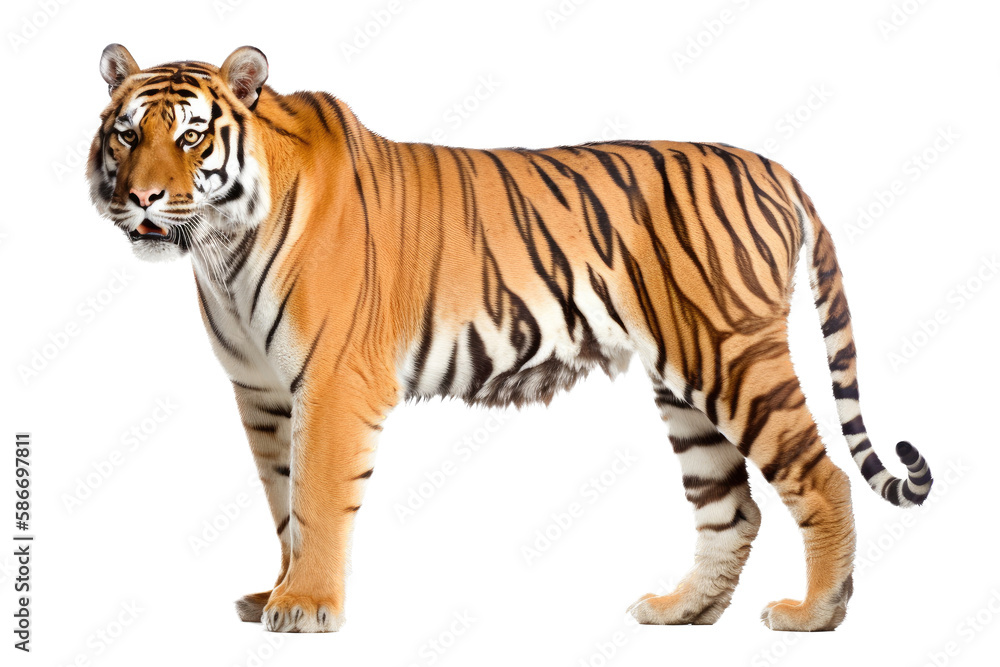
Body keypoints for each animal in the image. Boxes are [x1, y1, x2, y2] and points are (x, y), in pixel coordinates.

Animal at [88, 44, 933, 633]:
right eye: (126, 136)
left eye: (193, 138)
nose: (143, 198)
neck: (221, 248)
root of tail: (773, 166)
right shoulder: (261, 392)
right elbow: (281, 498)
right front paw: (280, 589)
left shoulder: (331, 382)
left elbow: (318, 496)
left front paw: (305, 607)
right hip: (684, 381)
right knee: (732, 507)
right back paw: (681, 611)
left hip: (735, 355)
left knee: (821, 476)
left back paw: (815, 613)